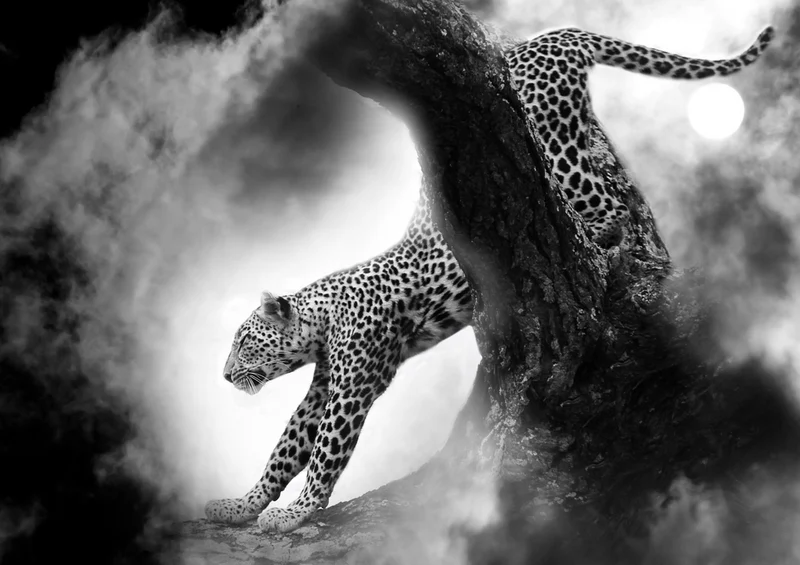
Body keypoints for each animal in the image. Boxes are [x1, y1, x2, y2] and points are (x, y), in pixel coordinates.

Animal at [204, 24, 774, 534]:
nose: (226, 377)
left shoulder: (353, 384)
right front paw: (242, 505)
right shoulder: (326, 382)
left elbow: (325, 449)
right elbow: (287, 446)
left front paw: (296, 513)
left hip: (560, 157)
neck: (323, 317)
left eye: (244, 342)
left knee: (610, 207)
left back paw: (618, 246)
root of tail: (553, 38)